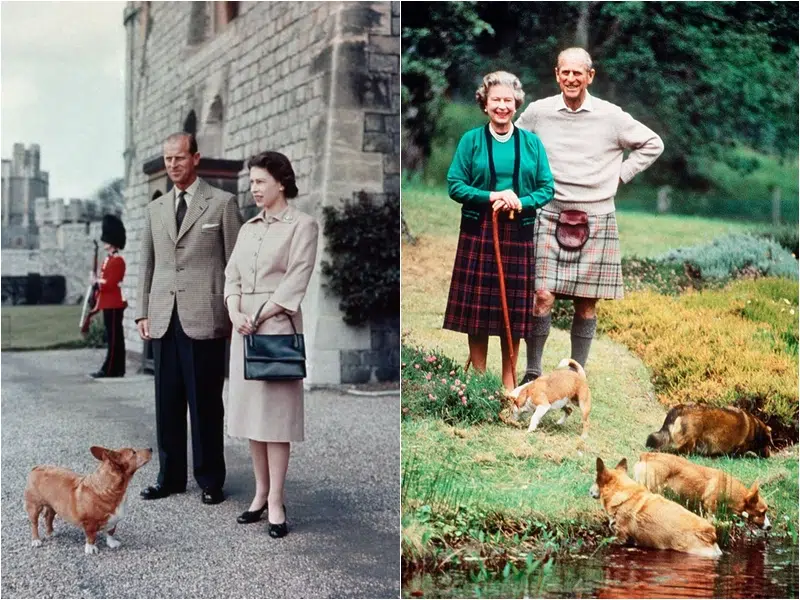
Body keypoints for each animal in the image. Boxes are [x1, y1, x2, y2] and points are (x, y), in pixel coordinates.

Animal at [23, 446, 152, 552]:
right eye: (133, 452)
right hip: (34, 506)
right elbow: (91, 536)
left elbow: (110, 532)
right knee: (34, 523)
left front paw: (112, 543)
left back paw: (51, 533)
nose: (151, 449)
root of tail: (36, 467)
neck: (109, 489)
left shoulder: (113, 521)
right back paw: (36, 540)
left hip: (53, 506)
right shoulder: (90, 523)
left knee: (48, 517)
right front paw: (91, 548)